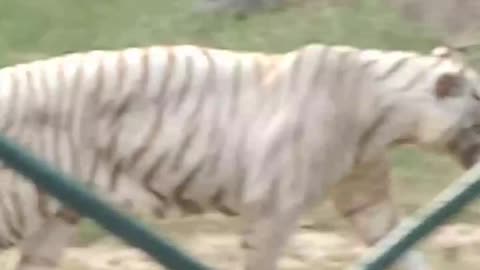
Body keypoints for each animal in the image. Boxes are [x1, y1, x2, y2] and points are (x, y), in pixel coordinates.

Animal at [0, 42, 478, 270]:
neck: (392, 117)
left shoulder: (367, 197)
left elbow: (404, 250)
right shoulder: (274, 208)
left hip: (55, 220)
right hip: (16, 208)